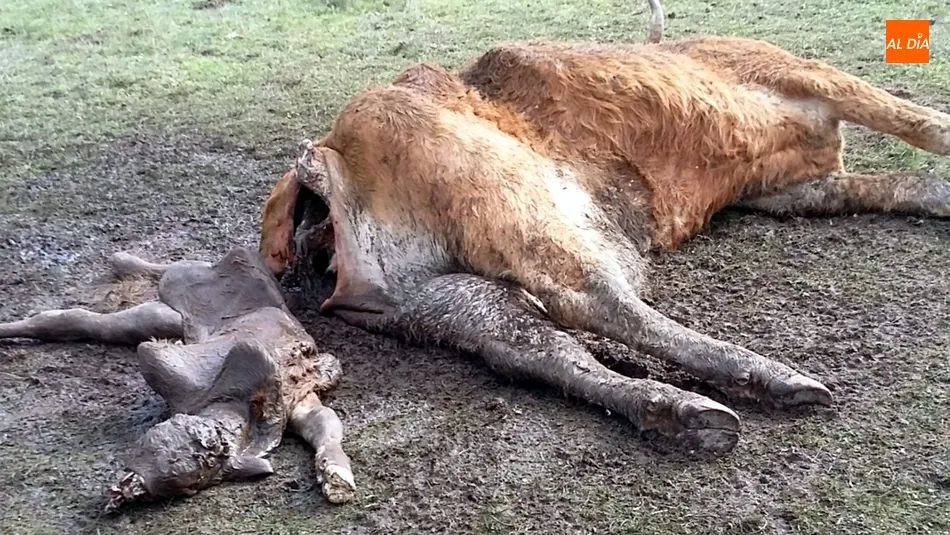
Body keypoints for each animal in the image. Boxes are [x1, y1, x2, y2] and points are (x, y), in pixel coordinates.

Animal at [0, 247, 357, 511]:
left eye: (187, 483)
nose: (129, 486)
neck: (235, 406)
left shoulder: (297, 405)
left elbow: (325, 424)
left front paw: (334, 473)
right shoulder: (187, 380)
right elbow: (158, 354)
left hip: (173, 314)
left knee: (116, 322)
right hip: (192, 284)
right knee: (144, 293)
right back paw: (124, 261)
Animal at [257, 4, 949, 454]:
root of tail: (323, 162)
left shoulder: (793, 189)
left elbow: (892, 180)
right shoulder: (802, 76)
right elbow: (916, 119)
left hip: (438, 297)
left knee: (537, 349)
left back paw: (686, 415)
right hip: (512, 201)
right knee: (599, 301)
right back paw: (776, 379)